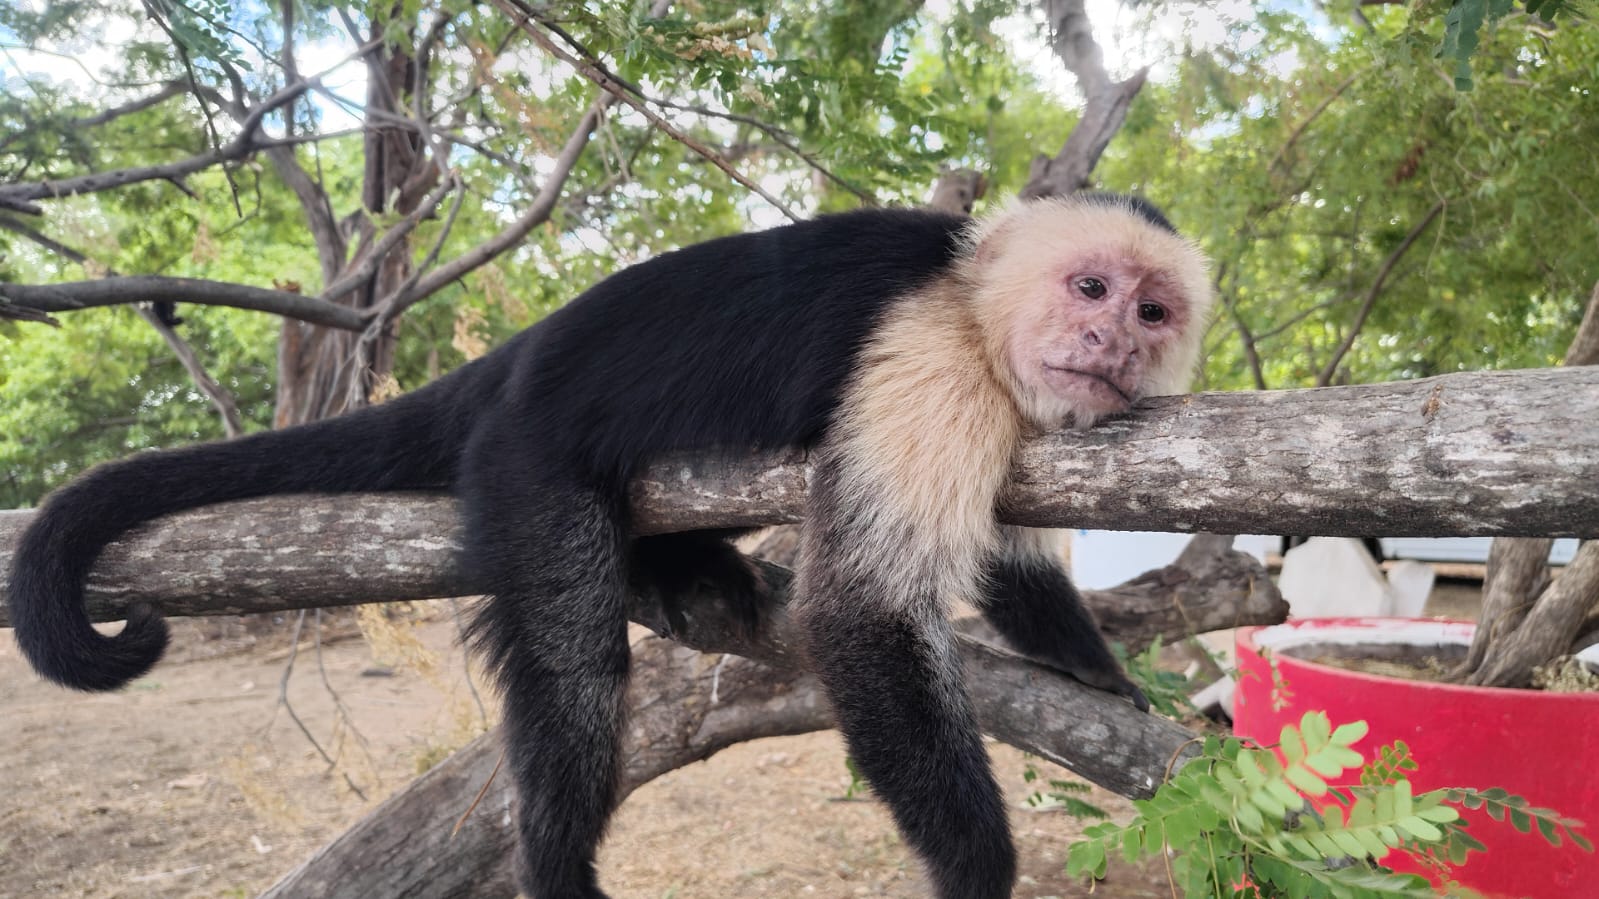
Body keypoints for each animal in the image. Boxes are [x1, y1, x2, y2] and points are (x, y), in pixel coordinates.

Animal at [8, 192, 1213, 899]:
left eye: (1153, 311)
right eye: (1092, 286)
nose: (1110, 340)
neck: (971, 302)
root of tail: (513, 357)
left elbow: (1010, 564)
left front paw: (1103, 676)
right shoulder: (933, 353)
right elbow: (861, 609)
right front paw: (974, 864)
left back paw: (683, 570)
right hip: (524, 456)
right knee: (577, 665)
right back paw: (559, 856)